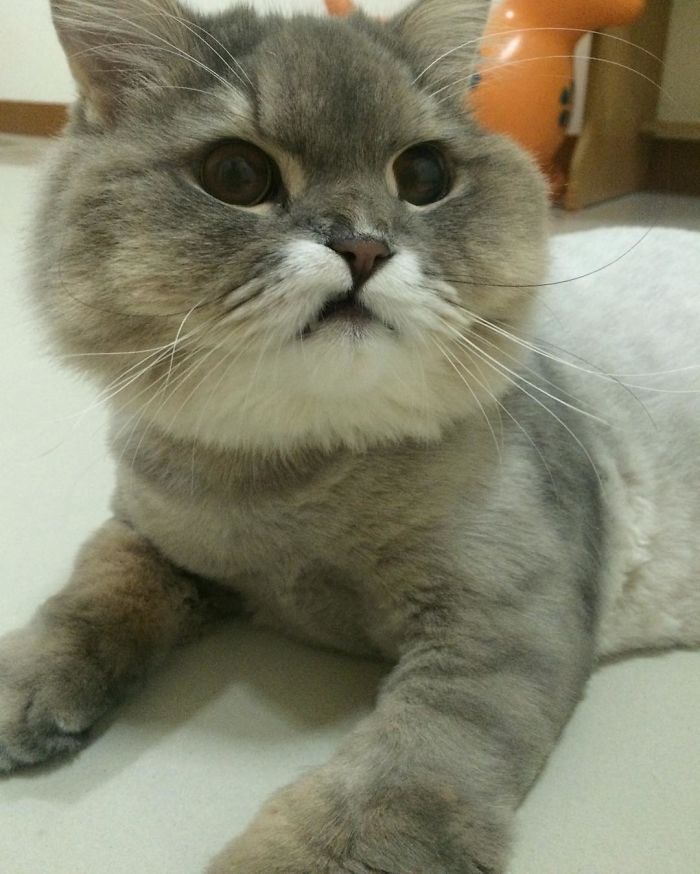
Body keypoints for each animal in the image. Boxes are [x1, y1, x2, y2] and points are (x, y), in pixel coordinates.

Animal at [1, 0, 700, 868]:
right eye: (237, 176)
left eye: (424, 177)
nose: (363, 246)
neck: (290, 482)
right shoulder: (144, 532)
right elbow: (90, 600)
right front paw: (27, 686)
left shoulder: (499, 631)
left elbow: (391, 789)